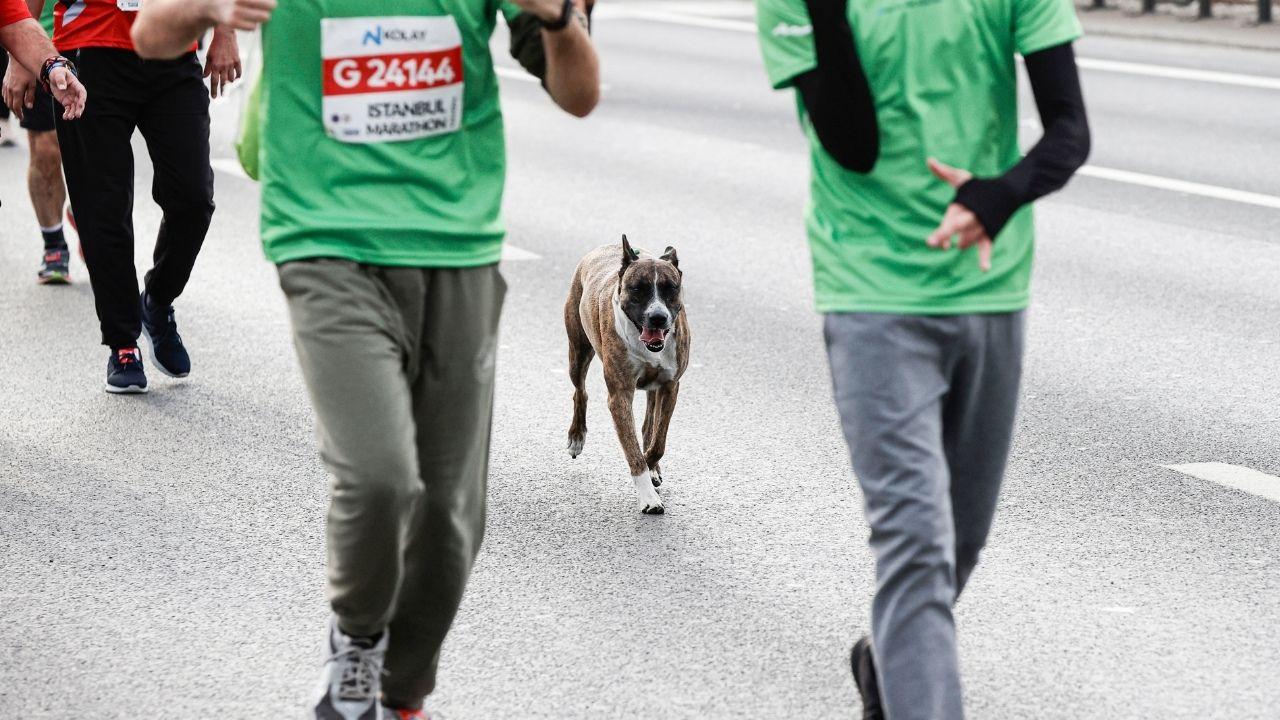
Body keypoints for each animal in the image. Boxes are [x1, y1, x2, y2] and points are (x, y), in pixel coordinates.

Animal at [565, 234, 691, 509]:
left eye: (670, 288)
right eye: (638, 289)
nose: (657, 317)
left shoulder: (670, 387)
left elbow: (658, 441)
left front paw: (652, 465)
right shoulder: (620, 395)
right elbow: (633, 450)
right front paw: (648, 496)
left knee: (649, 424)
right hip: (578, 350)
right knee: (580, 391)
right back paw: (577, 437)